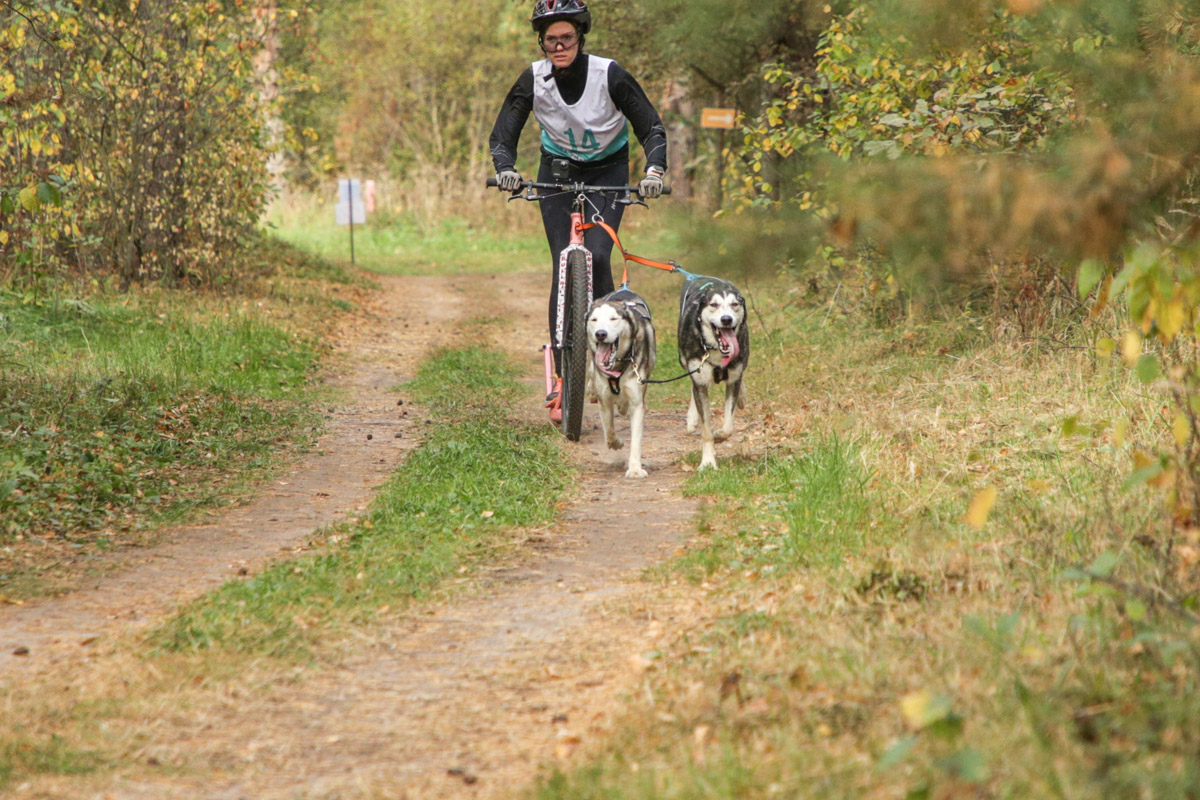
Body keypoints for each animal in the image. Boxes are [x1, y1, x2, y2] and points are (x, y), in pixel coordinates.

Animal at [583, 287, 657, 474]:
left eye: (613, 319)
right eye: (594, 319)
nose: (600, 334)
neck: (617, 365)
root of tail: (625, 290)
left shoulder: (637, 401)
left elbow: (636, 439)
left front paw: (635, 469)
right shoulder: (604, 400)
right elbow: (608, 431)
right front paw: (617, 443)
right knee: (591, 370)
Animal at [676, 275, 748, 470]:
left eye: (734, 304)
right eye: (713, 305)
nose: (726, 319)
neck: (716, 349)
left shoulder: (733, 379)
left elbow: (728, 427)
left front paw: (719, 436)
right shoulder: (699, 379)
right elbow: (706, 430)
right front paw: (708, 462)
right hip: (685, 361)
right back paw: (692, 417)